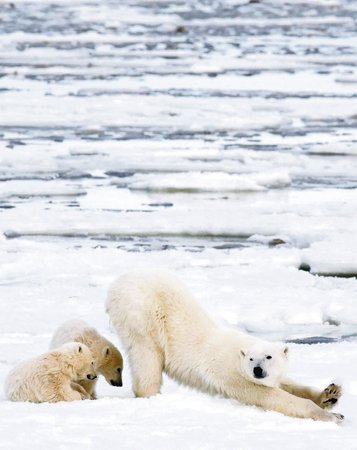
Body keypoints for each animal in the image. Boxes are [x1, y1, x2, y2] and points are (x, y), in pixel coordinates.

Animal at [105, 270, 342, 422]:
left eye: (269, 356)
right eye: (251, 359)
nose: (258, 370)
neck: (239, 352)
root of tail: (117, 284)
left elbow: (287, 383)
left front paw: (331, 394)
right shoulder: (232, 376)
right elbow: (267, 396)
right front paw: (331, 416)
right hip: (142, 314)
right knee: (147, 356)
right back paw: (151, 395)